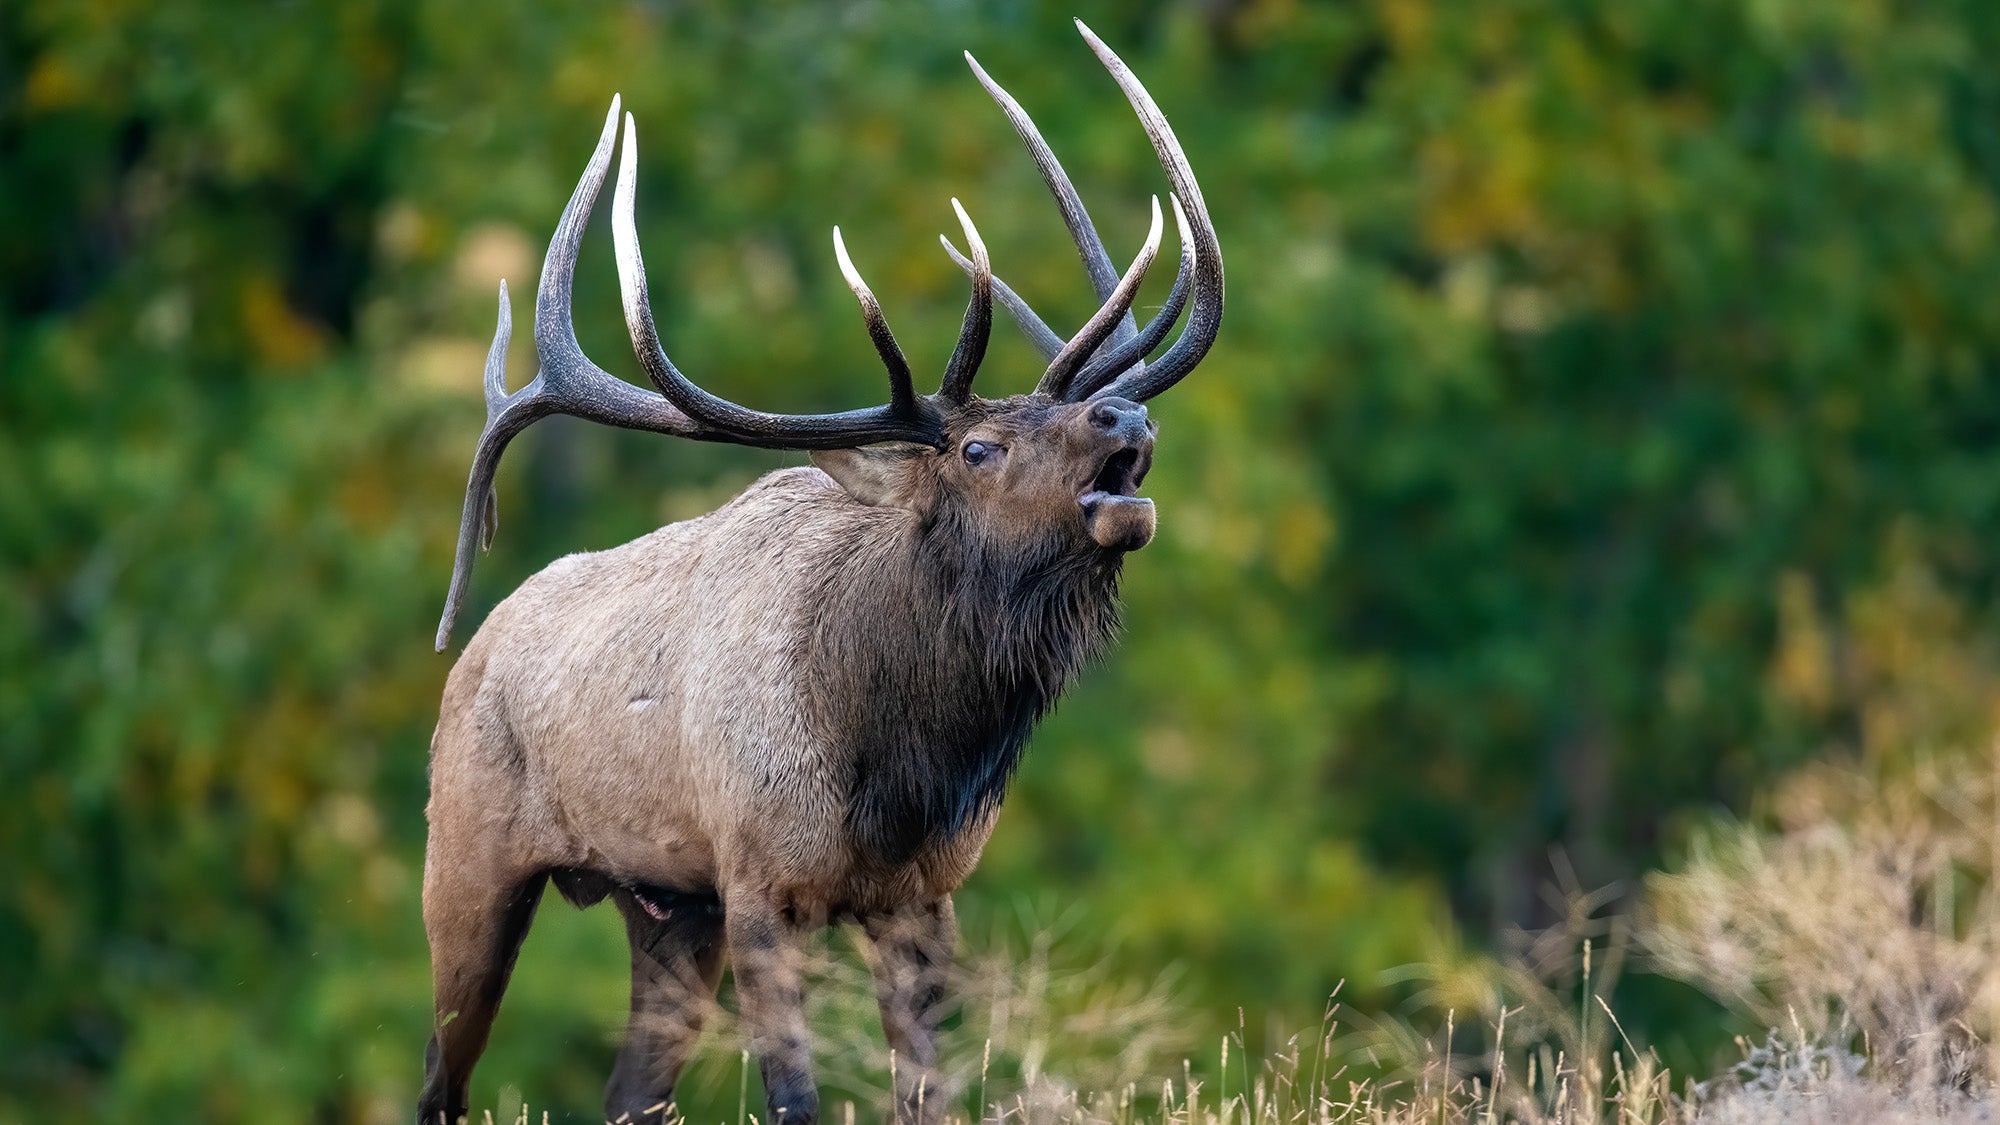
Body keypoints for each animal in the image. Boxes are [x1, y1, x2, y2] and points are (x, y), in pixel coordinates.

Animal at [418, 22, 1221, 1125]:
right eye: (976, 449)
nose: (1125, 415)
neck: (893, 766)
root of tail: (473, 651)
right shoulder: (759, 882)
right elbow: (794, 1096)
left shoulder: (924, 897)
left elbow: (928, 1095)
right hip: (465, 855)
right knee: (439, 1076)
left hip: (666, 906)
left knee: (630, 1090)